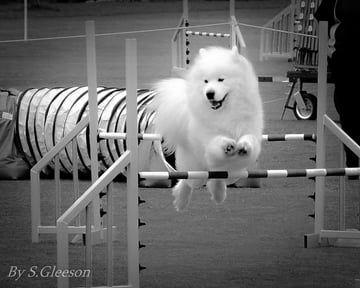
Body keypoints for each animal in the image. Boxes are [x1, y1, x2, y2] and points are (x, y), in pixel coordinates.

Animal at [150, 46, 262, 210]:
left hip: (234, 173)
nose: (209, 93)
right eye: (206, 81)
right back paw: (181, 200)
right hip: (196, 170)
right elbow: (216, 142)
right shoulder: (209, 138)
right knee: (188, 181)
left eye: (221, 79)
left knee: (217, 179)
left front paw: (244, 146)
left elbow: (249, 138)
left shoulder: (249, 128)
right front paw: (227, 145)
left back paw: (219, 195)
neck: (225, 111)